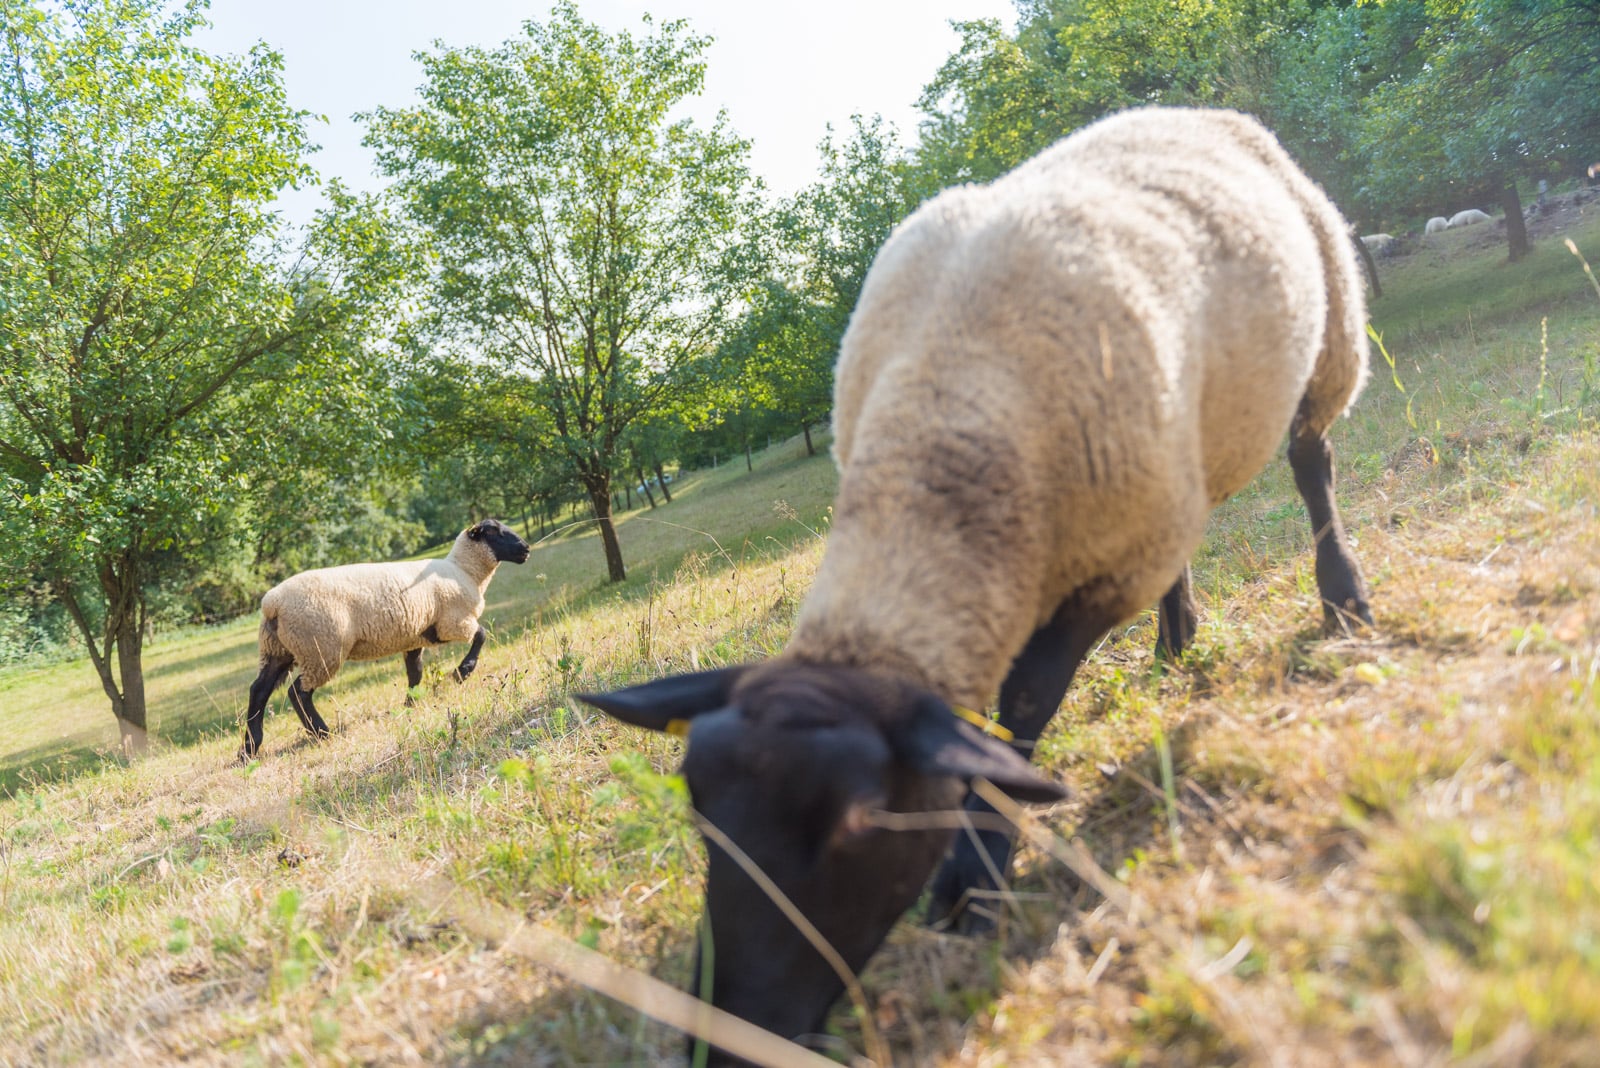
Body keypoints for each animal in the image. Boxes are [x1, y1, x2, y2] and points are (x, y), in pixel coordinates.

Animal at [236, 518, 528, 757]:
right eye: (496, 532)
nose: (526, 548)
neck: (465, 571)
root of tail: (272, 604)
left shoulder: (415, 639)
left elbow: (415, 673)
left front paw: (411, 703)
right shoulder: (452, 623)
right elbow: (481, 635)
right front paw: (461, 672)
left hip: (279, 649)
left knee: (259, 691)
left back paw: (250, 748)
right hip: (320, 647)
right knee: (298, 692)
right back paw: (322, 732)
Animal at [582, 108, 1369, 1061]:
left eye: (863, 822)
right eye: (698, 815)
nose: (728, 1041)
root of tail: (1188, 111)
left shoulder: (1104, 562)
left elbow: (1023, 705)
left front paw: (974, 873)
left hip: (1330, 336)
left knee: (1312, 463)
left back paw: (1342, 598)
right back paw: (1177, 632)